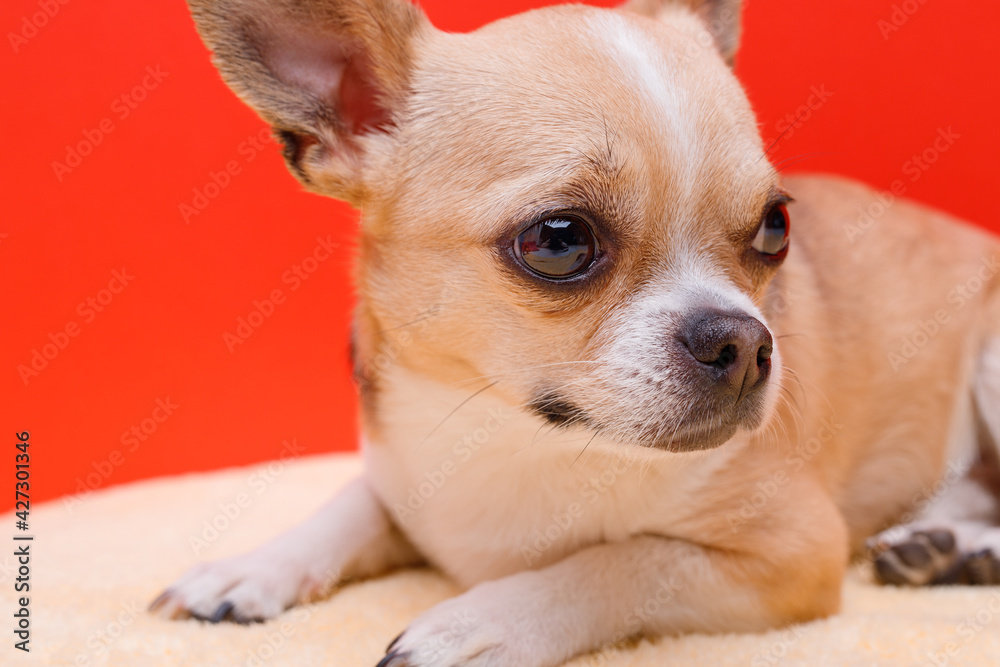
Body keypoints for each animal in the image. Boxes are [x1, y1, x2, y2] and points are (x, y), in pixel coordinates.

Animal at [152, 0, 1000, 664]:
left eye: (775, 228)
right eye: (559, 239)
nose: (745, 342)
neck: (519, 437)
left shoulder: (795, 554)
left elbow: (626, 558)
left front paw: (486, 620)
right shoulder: (398, 471)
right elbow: (353, 502)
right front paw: (253, 566)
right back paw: (940, 545)